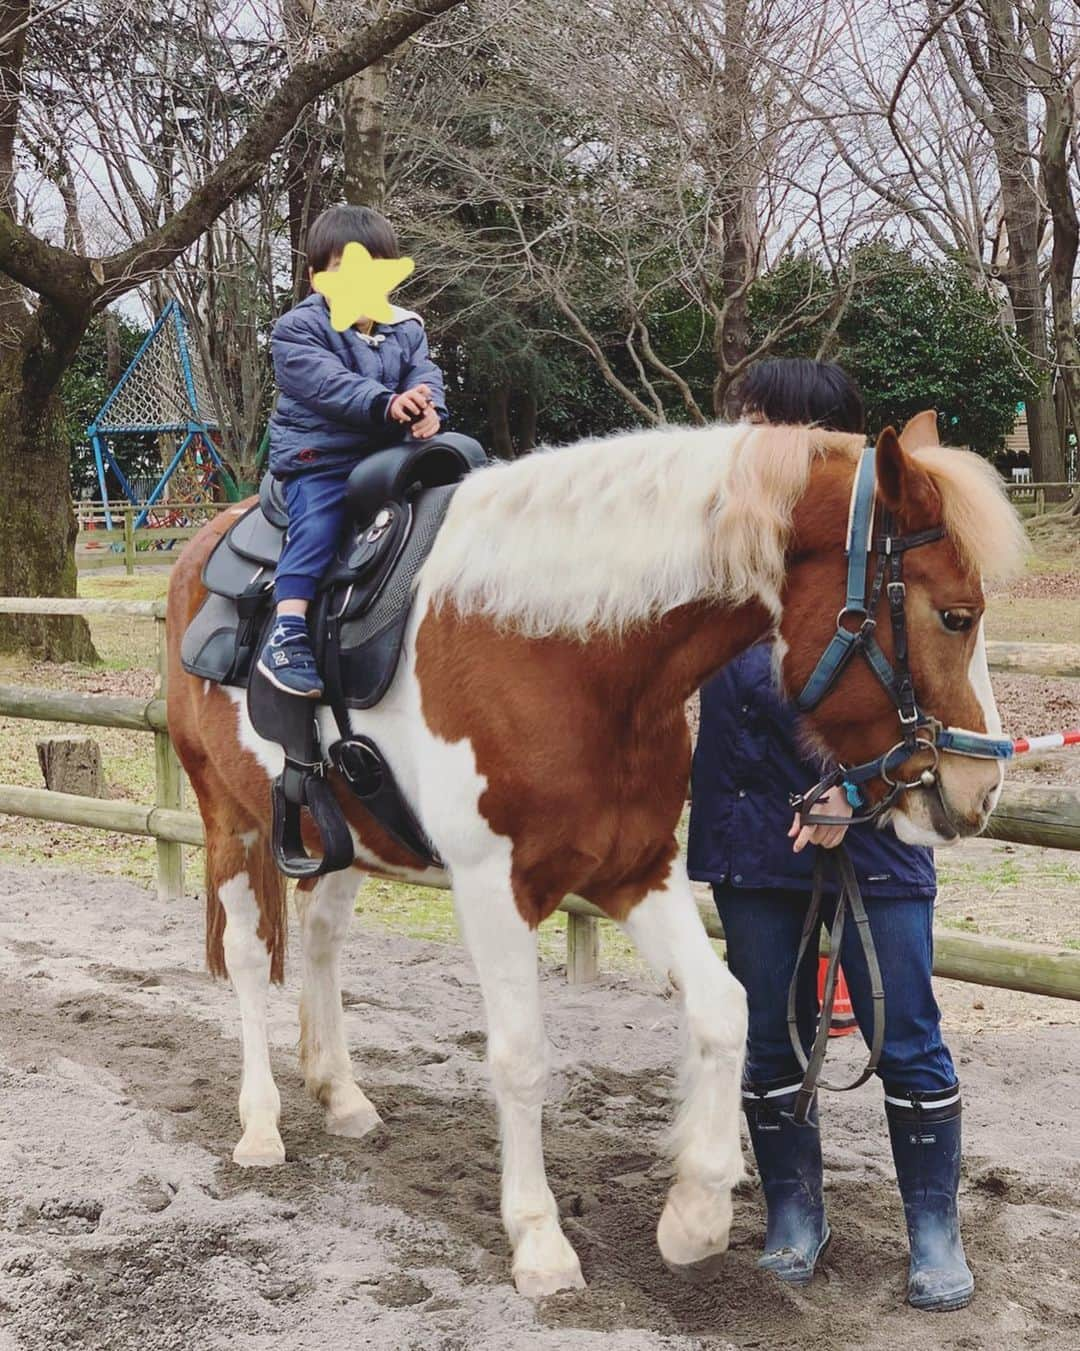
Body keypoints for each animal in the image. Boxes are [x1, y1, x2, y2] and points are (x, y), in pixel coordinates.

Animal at [166, 413, 1021, 1296]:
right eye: (956, 616)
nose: (982, 786)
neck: (561, 651)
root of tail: (205, 542)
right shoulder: (493, 888)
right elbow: (520, 1055)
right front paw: (539, 1239)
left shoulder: (637, 870)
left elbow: (726, 1008)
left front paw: (695, 1214)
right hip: (231, 819)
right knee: (247, 956)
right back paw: (261, 1124)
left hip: (342, 843)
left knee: (322, 942)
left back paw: (339, 1093)